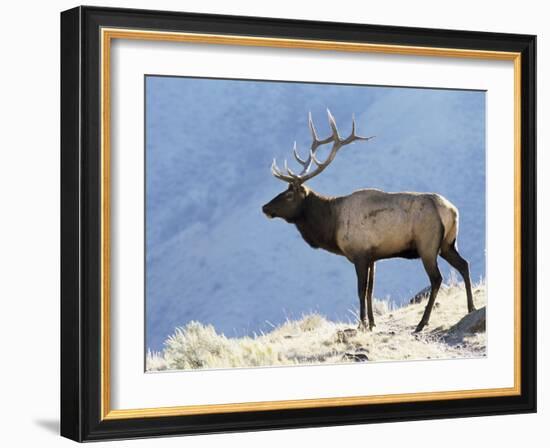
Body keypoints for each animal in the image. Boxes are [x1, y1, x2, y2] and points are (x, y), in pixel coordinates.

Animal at [260, 110, 476, 330]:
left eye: (289, 195)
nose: (265, 208)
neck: (331, 225)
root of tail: (451, 210)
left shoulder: (360, 254)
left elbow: (360, 290)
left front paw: (362, 324)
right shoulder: (373, 256)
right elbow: (371, 290)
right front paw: (372, 323)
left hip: (428, 245)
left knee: (437, 278)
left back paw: (422, 323)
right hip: (448, 243)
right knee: (464, 264)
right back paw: (470, 307)